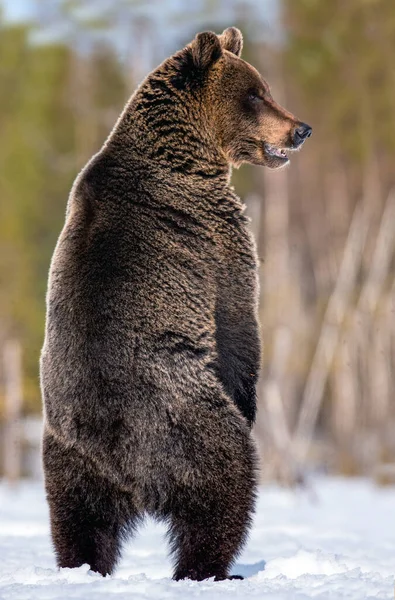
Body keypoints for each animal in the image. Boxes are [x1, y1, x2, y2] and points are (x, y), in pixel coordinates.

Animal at [40, 27, 312, 580]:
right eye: (255, 93)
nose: (301, 129)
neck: (188, 153)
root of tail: (124, 468)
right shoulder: (216, 234)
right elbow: (237, 319)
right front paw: (248, 393)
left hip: (67, 456)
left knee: (79, 522)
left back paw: (82, 567)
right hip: (179, 420)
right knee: (225, 482)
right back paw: (213, 567)